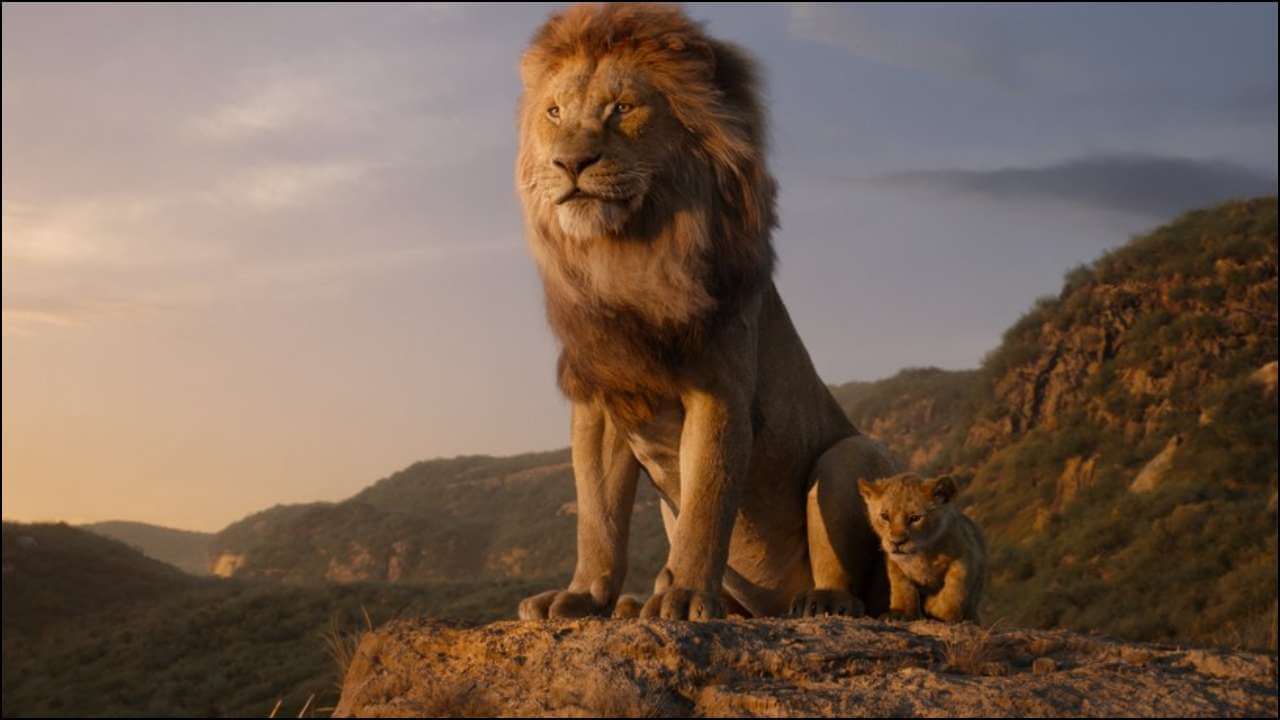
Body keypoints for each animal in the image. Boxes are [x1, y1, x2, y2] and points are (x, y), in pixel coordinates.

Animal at [514, 3, 899, 621]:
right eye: (554, 112)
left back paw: (820, 601)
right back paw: (635, 604)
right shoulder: (600, 400)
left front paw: (686, 595)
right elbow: (597, 517)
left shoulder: (719, 390)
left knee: (851, 575)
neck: (626, 255)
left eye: (622, 108)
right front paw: (583, 595)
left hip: (850, 456)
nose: (569, 162)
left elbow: (707, 504)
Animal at [857, 473, 987, 623]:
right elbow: (902, 587)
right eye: (885, 516)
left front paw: (936, 608)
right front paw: (900, 612)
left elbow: (955, 589)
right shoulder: (895, 563)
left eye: (915, 518)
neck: (921, 554)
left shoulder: (966, 554)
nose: (897, 542)